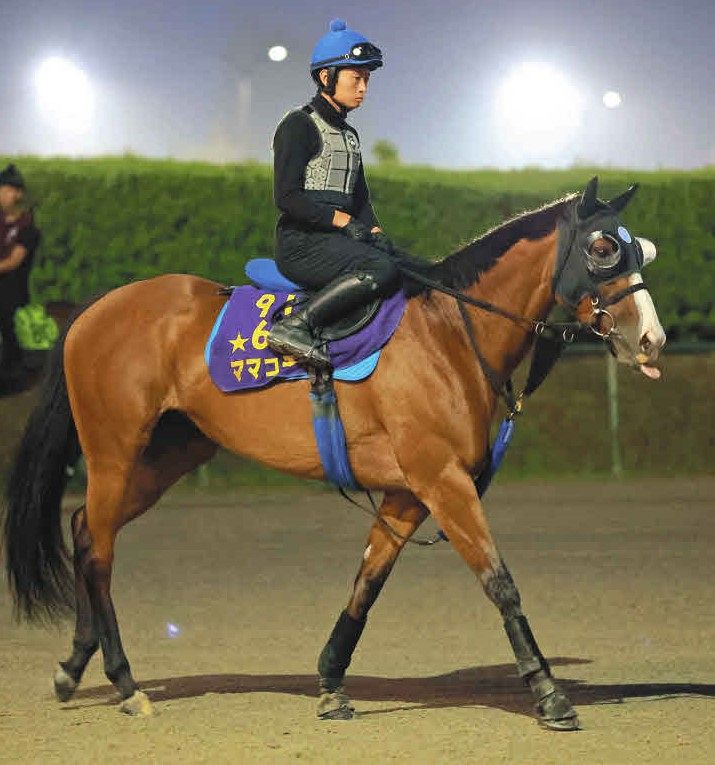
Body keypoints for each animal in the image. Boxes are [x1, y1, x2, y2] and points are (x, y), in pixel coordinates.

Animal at [3, 177, 665, 730]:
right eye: (602, 249)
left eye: (641, 251)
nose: (650, 340)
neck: (448, 331)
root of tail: (98, 307)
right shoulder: (444, 482)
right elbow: (499, 582)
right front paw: (549, 694)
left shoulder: (407, 493)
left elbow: (366, 584)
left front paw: (329, 683)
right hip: (114, 454)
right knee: (100, 550)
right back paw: (125, 681)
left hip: (164, 459)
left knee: (85, 530)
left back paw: (74, 668)